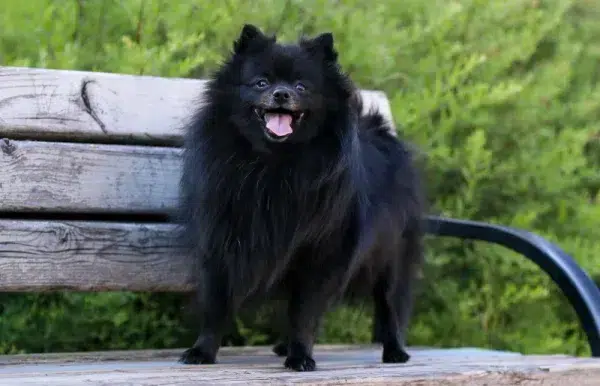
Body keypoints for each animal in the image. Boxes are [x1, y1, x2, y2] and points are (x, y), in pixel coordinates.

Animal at [176, 23, 424, 370]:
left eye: (301, 86)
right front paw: (202, 351)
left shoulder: (321, 254)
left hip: (391, 257)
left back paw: (395, 351)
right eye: (261, 82)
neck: (275, 165)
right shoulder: (221, 246)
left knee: (389, 306)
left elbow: (306, 312)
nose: (282, 93)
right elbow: (216, 306)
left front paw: (301, 355)